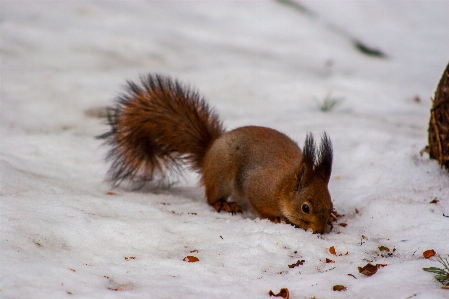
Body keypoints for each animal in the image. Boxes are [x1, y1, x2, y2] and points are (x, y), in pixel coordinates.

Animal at [100, 74, 332, 234]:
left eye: (330, 204)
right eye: (305, 208)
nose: (320, 230)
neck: (283, 185)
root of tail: (208, 152)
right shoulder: (258, 187)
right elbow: (261, 207)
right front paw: (277, 219)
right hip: (222, 174)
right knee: (211, 197)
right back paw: (223, 203)